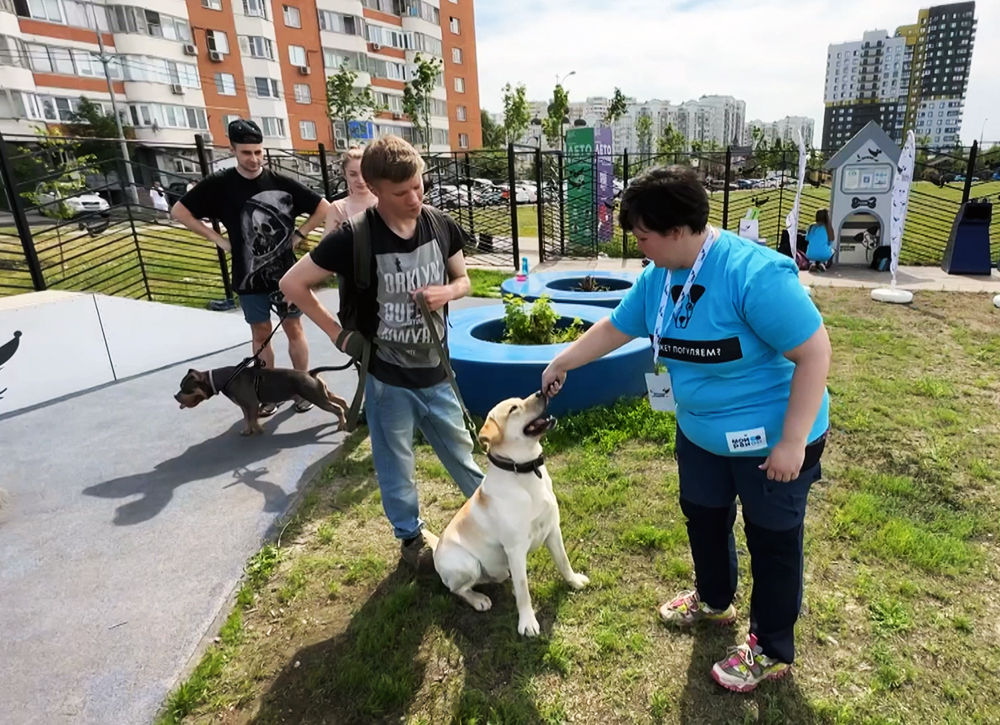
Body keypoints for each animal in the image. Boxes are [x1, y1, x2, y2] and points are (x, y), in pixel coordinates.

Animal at [178, 364, 350, 432]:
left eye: (185, 388)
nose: (175, 396)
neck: (225, 378)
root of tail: (309, 372)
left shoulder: (252, 404)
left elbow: (253, 419)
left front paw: (258, 430)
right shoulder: (245, 406)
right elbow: (248, 420)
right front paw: (248, 431)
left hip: (317, 397)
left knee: (337, 408)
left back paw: (341, 424)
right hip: (323, 393)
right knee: (341, 400)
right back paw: (348, 415)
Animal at [422, 390, 584, 632]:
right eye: (513, 409)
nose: (542, 392)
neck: (525, 471)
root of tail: (436, 549)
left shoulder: (553, 530)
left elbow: (563, 561)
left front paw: (574, 581)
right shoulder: (515, 549)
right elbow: (524, 589)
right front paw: (527, 622)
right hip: (467, 564)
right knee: (457, 589)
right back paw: (478, 599)